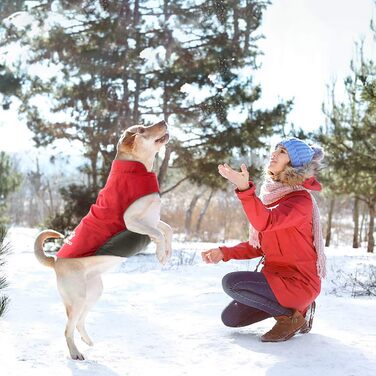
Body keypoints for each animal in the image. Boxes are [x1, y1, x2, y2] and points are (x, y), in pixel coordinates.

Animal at [33, 121, 172, 362]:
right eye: (142, 129)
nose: (163, 121)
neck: (138, 169)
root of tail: (55, 260)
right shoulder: (132, 221)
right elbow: (161, 234)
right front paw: (161, 254)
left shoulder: (152, 220)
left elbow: (167, 230)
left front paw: (167, 251)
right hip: (78, 298)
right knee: (68, 328)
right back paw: (75, 353)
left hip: (94, 292)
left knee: (79, 322)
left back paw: (87, 341)